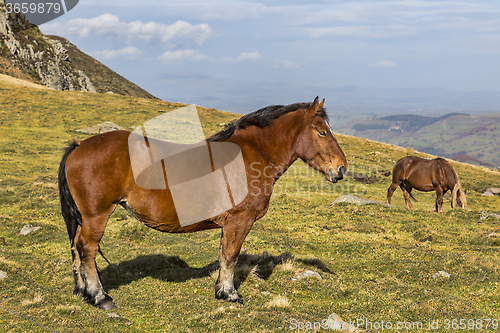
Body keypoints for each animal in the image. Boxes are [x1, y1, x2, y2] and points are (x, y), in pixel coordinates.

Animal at [57, 96, 348, 308]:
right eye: (322, 132)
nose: (341, 169)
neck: (251, 155)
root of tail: (79, 146)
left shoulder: (229, 224)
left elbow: (224, 254)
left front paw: (221, 289)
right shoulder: (239, 221)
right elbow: (231, 256)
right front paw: (230, 294)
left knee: (76, 247)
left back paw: (82, 290)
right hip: (97, 215)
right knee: (87, 249)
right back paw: (99, 296)